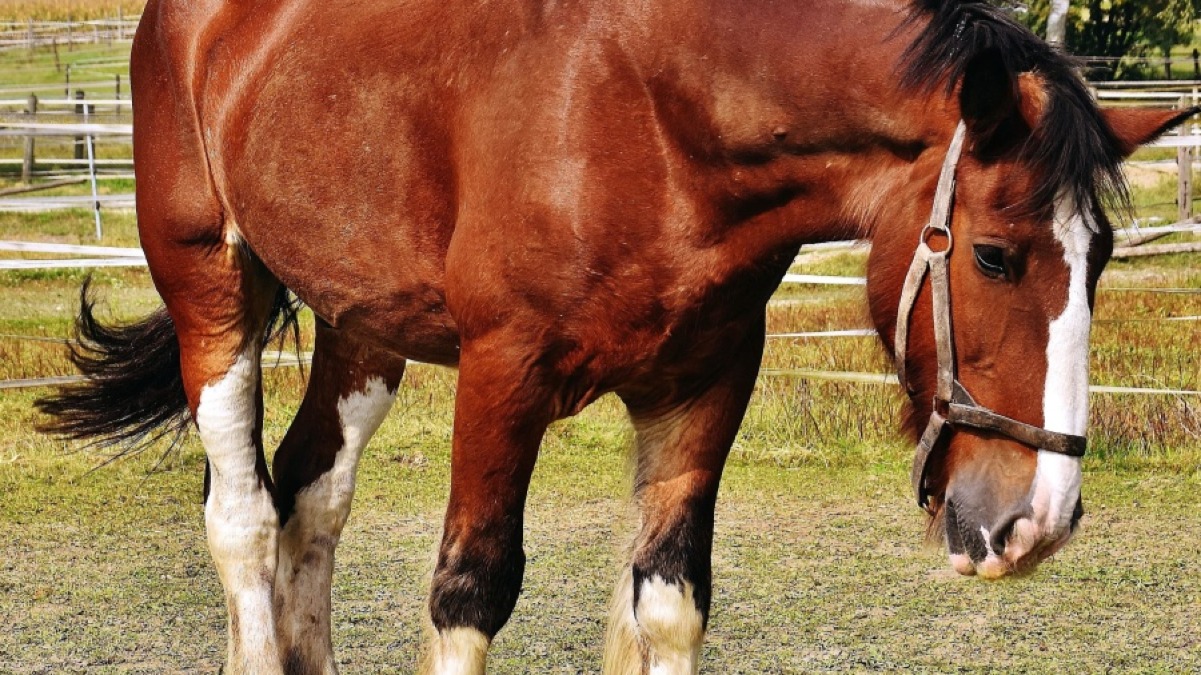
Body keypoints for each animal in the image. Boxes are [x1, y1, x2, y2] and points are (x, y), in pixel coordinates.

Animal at [35, 0, 1191, 667]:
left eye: (1098, 259)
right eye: (994, 255)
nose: (1038, 521)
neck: (652, 109)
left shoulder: (703, 386)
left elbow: (669, 602)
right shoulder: (502, 379)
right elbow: (468, 593)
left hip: (364, 327)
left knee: (312, 495)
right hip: (211, 287)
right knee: (242, 517)